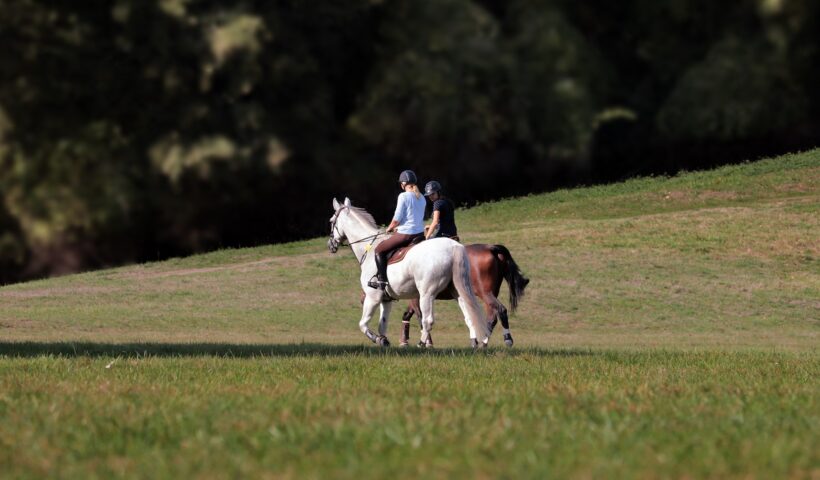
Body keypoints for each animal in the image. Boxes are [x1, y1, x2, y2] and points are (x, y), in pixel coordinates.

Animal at [328, 197, 494, 346]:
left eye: (331, 221)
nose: (330, 245)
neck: (369, 248)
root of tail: (453, 247)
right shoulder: (386, 300)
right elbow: (382, 325)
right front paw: (384, 341)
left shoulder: (372, 297)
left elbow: (363, 324)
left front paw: (377, 339)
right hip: (457, 291)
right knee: (469, 315)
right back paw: (475, 343)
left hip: (426, 294)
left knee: (427, 320)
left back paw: (422, 345)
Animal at [400, 246, 528, 346]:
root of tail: (491, 248)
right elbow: (407, 315)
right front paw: (404, 341)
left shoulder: (418, 298)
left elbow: (420, 318)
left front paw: (426, 342)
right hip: (491, 294)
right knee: (492, 317)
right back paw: (483, 342)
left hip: (485, 293)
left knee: (501, 310)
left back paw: (503, 339)